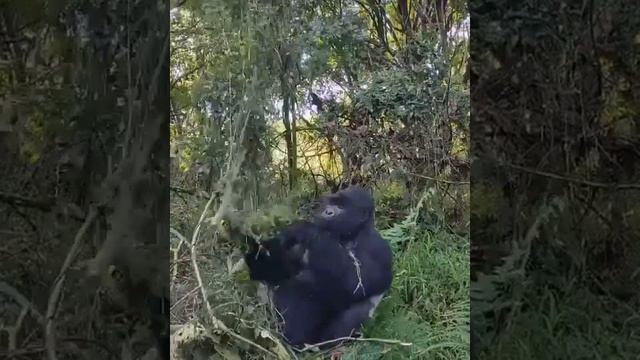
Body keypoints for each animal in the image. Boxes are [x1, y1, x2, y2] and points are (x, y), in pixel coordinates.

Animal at [245, 186, 392, 348]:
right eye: (332, 203)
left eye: (342, 207)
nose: (327, 212)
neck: (351, 234)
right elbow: (279, 270)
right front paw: (255, 253)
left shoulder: (378, 247)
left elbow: (357, 283)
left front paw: (308, 229)